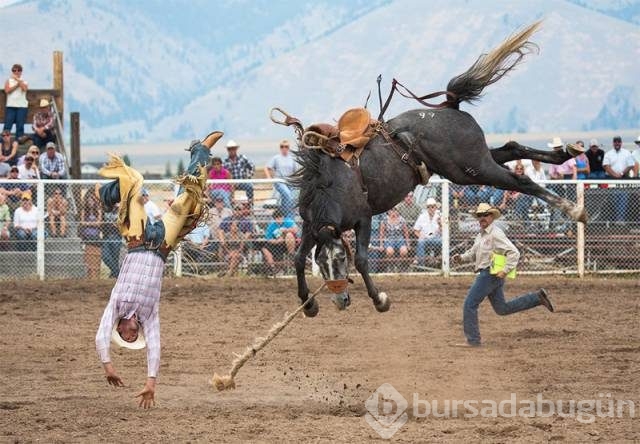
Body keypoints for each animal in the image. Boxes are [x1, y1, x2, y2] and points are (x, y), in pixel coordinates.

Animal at [280, 22, 584, 318]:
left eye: (341, 258)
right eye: (322, 262)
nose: (341, 300)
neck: (331, 185)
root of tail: (449, 106)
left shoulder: (363, 219)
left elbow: (363, 259)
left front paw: (380, 299)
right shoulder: (310, 226)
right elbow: (297, 259)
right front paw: (308, 304)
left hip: (471, 168)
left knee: (519, 179)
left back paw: (574, 209)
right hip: (472, 162)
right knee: (512, 148)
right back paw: (565, 153)